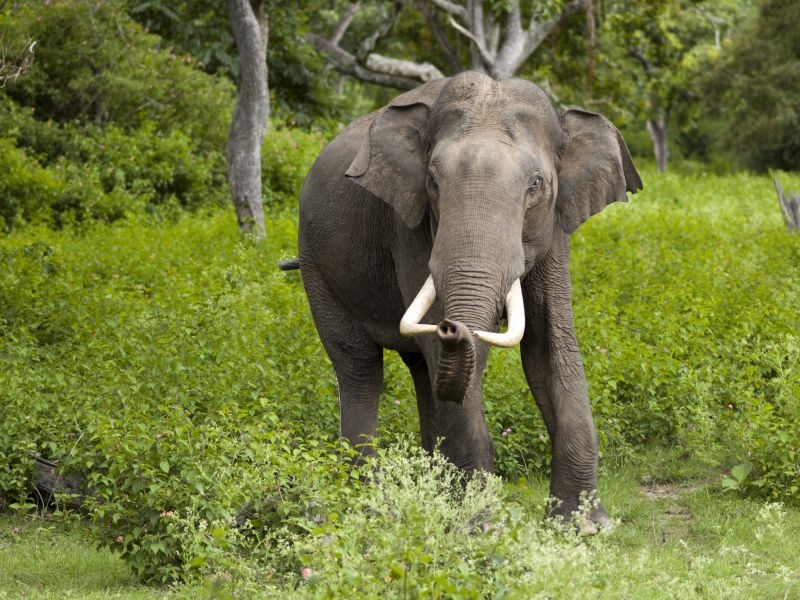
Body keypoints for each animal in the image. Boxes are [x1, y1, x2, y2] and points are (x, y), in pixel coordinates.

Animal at [296, 71, 644, 528]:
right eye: (432, 182)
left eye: (536, 186)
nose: (451, 326)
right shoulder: (409, 225)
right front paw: (481, 525)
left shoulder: (555, 227)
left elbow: (550, 348)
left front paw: (584, 526)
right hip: (315, 267)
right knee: (359, 367)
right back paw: (366, 502)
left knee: (422, 372)